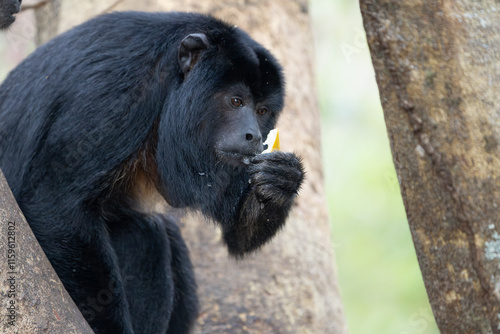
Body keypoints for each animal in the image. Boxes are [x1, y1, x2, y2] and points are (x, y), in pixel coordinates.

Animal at [0, 10, 304, 334]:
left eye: (262, 111)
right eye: (236, 101)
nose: (254, 136)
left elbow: (236, 232)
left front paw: (282, 182)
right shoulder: (116, 95)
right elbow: (56, 205)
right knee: (145, 233)